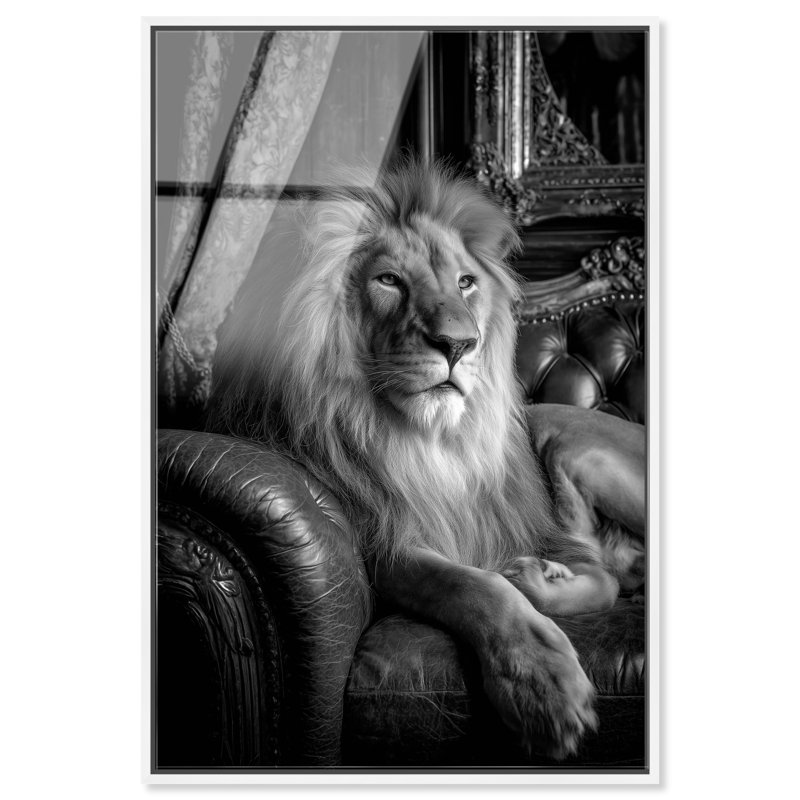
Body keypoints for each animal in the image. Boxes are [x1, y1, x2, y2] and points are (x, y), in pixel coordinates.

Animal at [206, 160, 645, 760]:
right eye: (389, 281)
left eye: (465, 283)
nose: (459, 345)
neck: (426, 442)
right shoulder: (385, 540)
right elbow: (473, 586)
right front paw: (543, 685)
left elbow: (594, 578)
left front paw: (540, 582)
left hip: (565, 436)